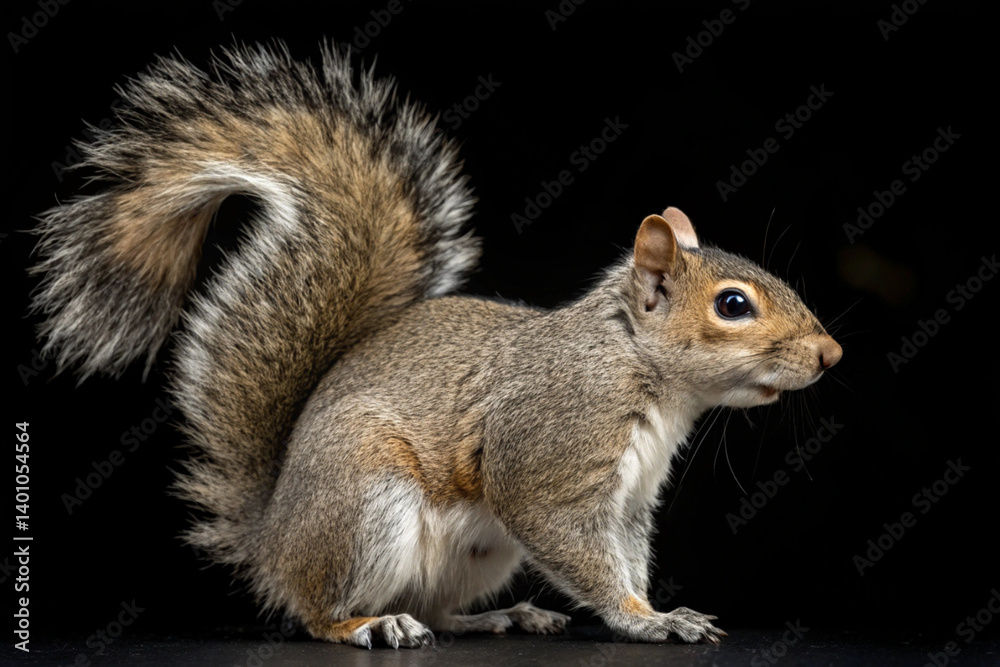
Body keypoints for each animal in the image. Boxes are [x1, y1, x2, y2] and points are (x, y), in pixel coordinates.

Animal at [30, 42, 842, 649]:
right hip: (367, 502)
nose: (831, 355)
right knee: (319, 611)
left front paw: (656, 607)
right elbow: (572, 541)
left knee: (439, 608)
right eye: (733, 304)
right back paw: (370, 624)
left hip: (479, 552)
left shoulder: (632, 498)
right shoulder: (550, 447)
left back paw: (501, 615)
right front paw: (645, 621)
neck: (640, 369)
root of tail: (273, 540)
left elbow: (627, 552)